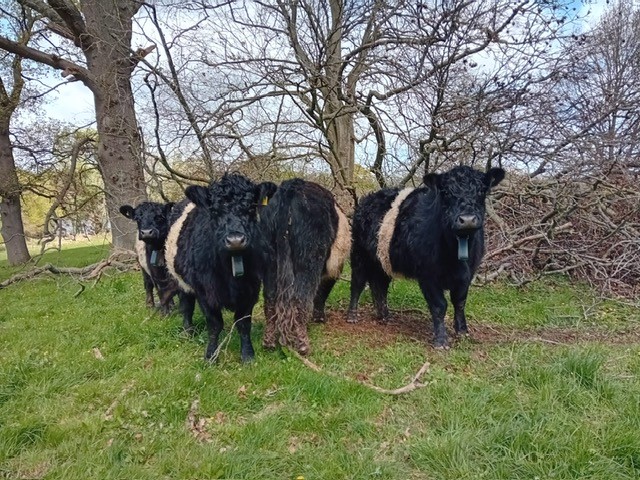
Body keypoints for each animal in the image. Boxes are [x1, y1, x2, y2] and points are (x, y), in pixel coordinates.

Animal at [164, 174, 276, 362]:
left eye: (251, 208)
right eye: (215, 211)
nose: (235, 240)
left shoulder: (251, 289)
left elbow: (243, 323)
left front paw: (248, 355)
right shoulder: (205, 292)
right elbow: (214, 324)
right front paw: (211, 356)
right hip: (180, 281)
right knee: (186, 306)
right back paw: (187, 332)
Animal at [259, 179, 351, 355]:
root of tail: (291, 187)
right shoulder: (335, 266)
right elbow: (322, 291)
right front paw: (319, 317)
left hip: (270, 261)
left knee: (270, 299)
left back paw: (269, 342)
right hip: (308, 260)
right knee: (300, 298)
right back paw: (303, 345)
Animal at [347, 165, 505, 348]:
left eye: (481, 191)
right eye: (446, 192)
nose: (467, 219)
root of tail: (368, 198)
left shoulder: (467, 275)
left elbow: (460, 302)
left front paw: (463, 332)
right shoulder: (428, 275)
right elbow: (439, 305)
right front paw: (441, 340)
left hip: (382, 260)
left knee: (379, 285)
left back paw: (384, 316)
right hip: (359, 254)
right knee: (357, 283)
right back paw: (352, 316)